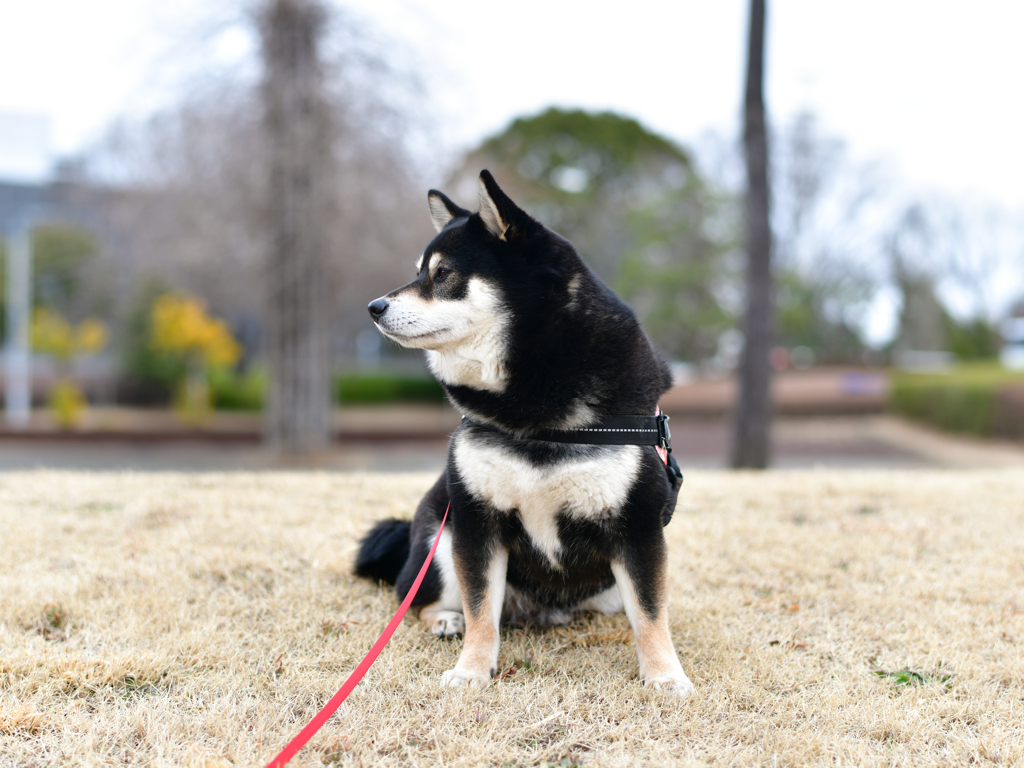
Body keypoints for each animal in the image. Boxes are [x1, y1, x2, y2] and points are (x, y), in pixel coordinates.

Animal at [354, 169, 696, 696]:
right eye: (419, 271)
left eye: (442, 274)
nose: (374, 306)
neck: (531, 409)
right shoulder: (476, 523)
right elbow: (480, 612)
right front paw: (471, 672)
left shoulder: (637, 527)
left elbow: (650, 613)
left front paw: (663, 676)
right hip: (440, 540)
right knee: (420, 601)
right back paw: (445, 620)